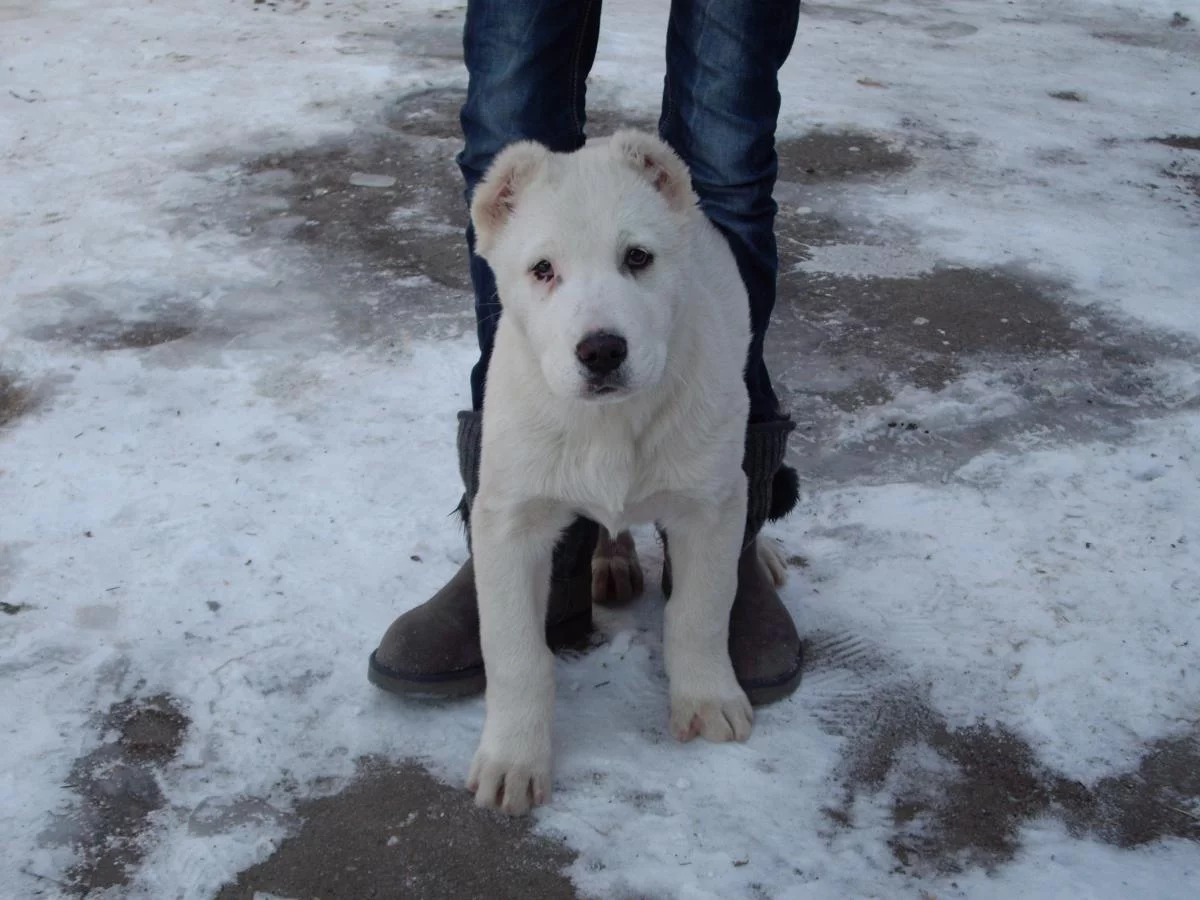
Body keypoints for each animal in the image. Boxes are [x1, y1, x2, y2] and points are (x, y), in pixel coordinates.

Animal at [466, 130, 758, 815]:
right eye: (543, 270)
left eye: (638, 258)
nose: (601, 350)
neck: (609, 424)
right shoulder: (508, 522)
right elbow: (515, 652)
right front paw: (513, 759)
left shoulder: (712, 505)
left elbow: (702, 610)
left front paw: (707, 699)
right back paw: (610, 558)